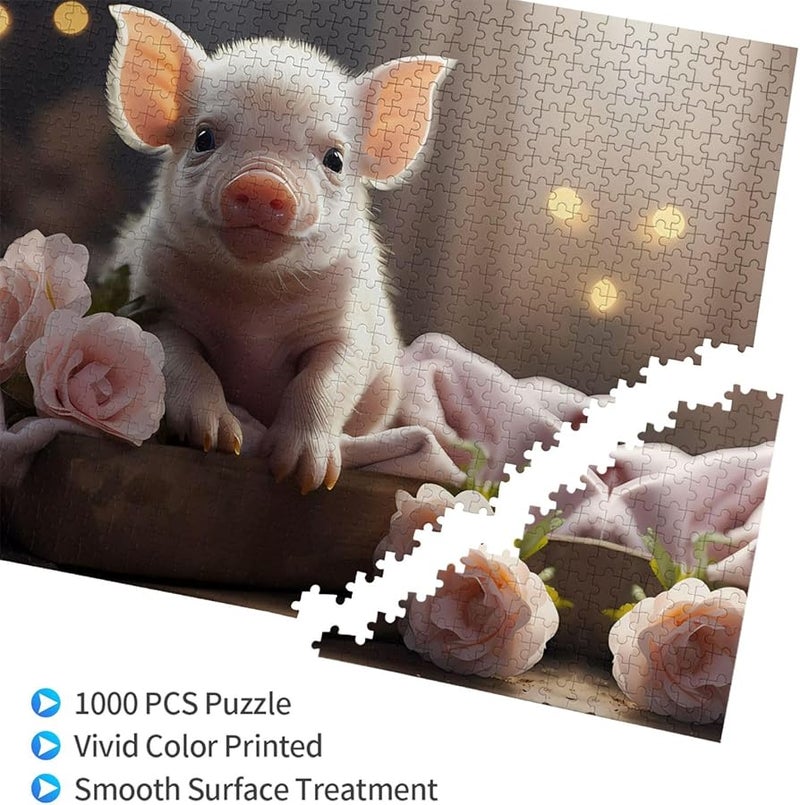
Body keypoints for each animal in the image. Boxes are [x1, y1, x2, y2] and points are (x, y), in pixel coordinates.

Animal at [105, 5, 452, 492]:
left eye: (335, 159)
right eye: (204, 138)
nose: (261, 182)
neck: (256, 305)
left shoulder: (348, 329)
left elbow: (325, 382)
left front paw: (305, 475)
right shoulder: (154, 303)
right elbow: (181, 361)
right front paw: (218, 441)